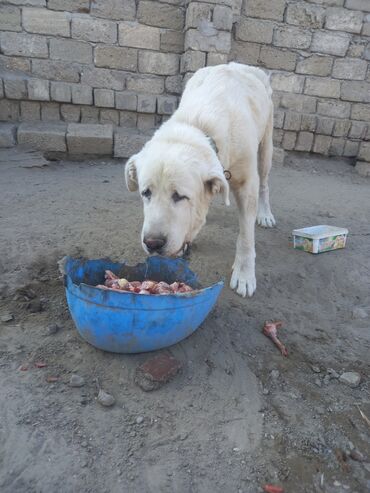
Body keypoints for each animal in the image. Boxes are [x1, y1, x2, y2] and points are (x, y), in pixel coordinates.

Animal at [124, 61, 274, 296]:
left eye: (179, 196)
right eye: (145, 193)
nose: (153, 243)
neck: (199, 125)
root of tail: (239, 64)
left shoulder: (247, 184)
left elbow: (246, 237)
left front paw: (244, 274)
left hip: (266, 146)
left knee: (265, 183)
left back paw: (265, 214)